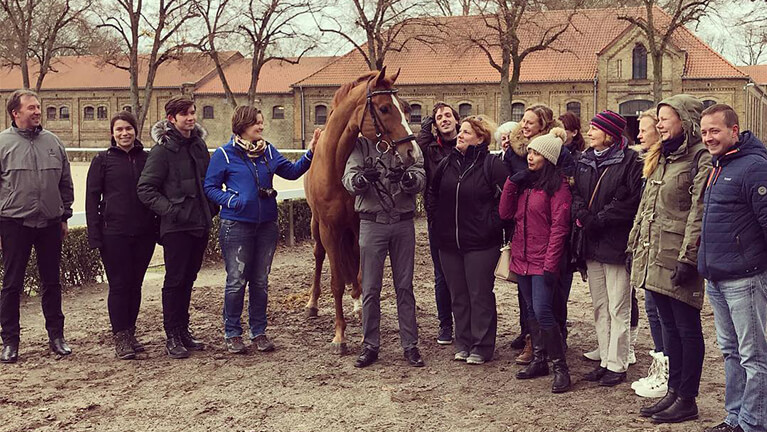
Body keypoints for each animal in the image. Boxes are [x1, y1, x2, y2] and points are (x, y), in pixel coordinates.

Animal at [304, 66, 424, 352]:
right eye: (384, 108)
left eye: (405, 108)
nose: (412, 152)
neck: (337, 168)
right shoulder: (329, 230)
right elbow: (336, 282)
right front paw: (339, 336)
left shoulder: (359, 226)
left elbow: (360, 272)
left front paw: (361, 317)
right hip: (315, 226)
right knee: (318, 257)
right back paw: (312, 304)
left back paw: (357, 304)